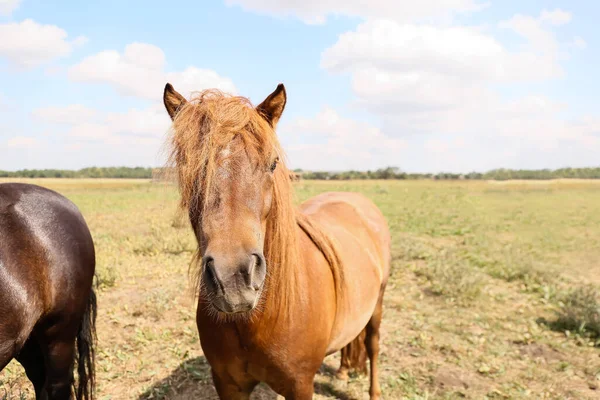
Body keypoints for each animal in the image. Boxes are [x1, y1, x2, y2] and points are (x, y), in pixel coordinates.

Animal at [162, 83, 392, 398]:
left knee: (372, 344)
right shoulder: (227, 383)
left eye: (272, 164)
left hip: (378, 301)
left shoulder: (300, 385)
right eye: (187, 166)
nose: (233, 279)